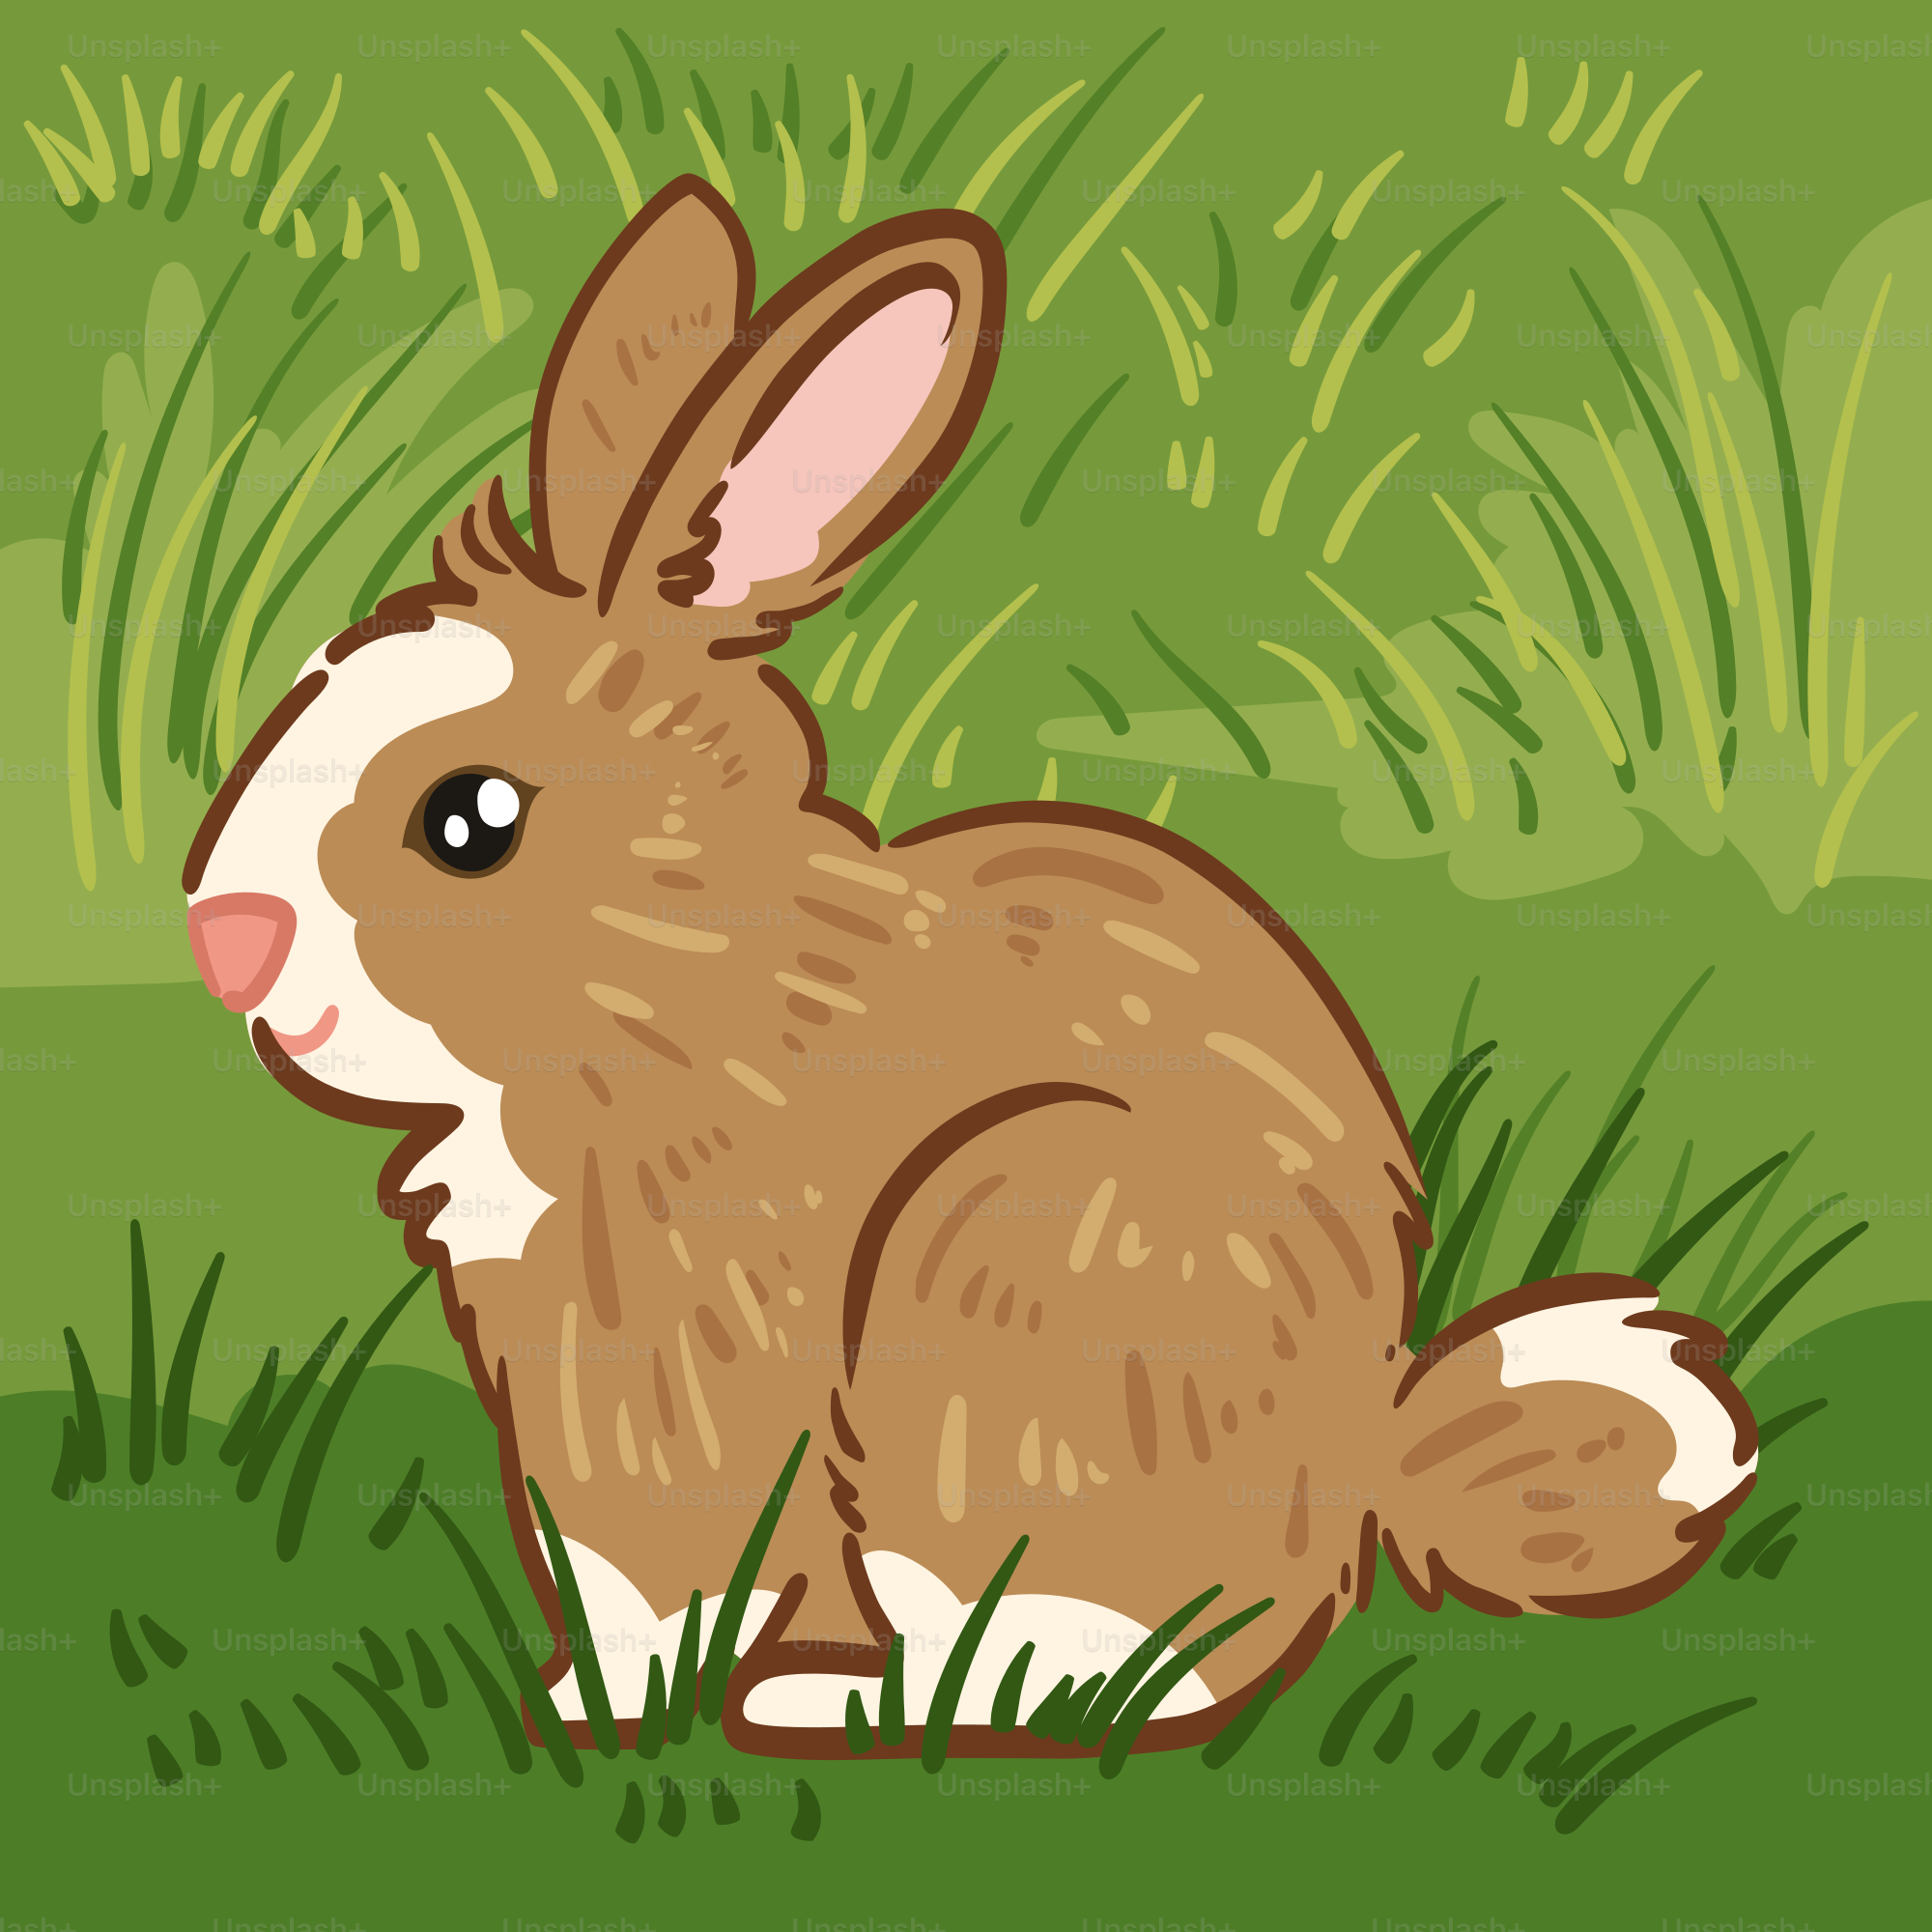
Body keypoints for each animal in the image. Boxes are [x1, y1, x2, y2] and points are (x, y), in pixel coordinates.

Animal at [180, 176, 1759, 1760]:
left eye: (472, 821)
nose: (226, 941)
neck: (688, 983)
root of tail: (1357, 1465)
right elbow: (619, 1588)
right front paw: (586, 1704)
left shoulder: (689, 1380)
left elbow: (689, 1575)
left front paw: (637, 1710)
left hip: (1010, 1285)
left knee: (1076, 1659)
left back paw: (834, 1699)